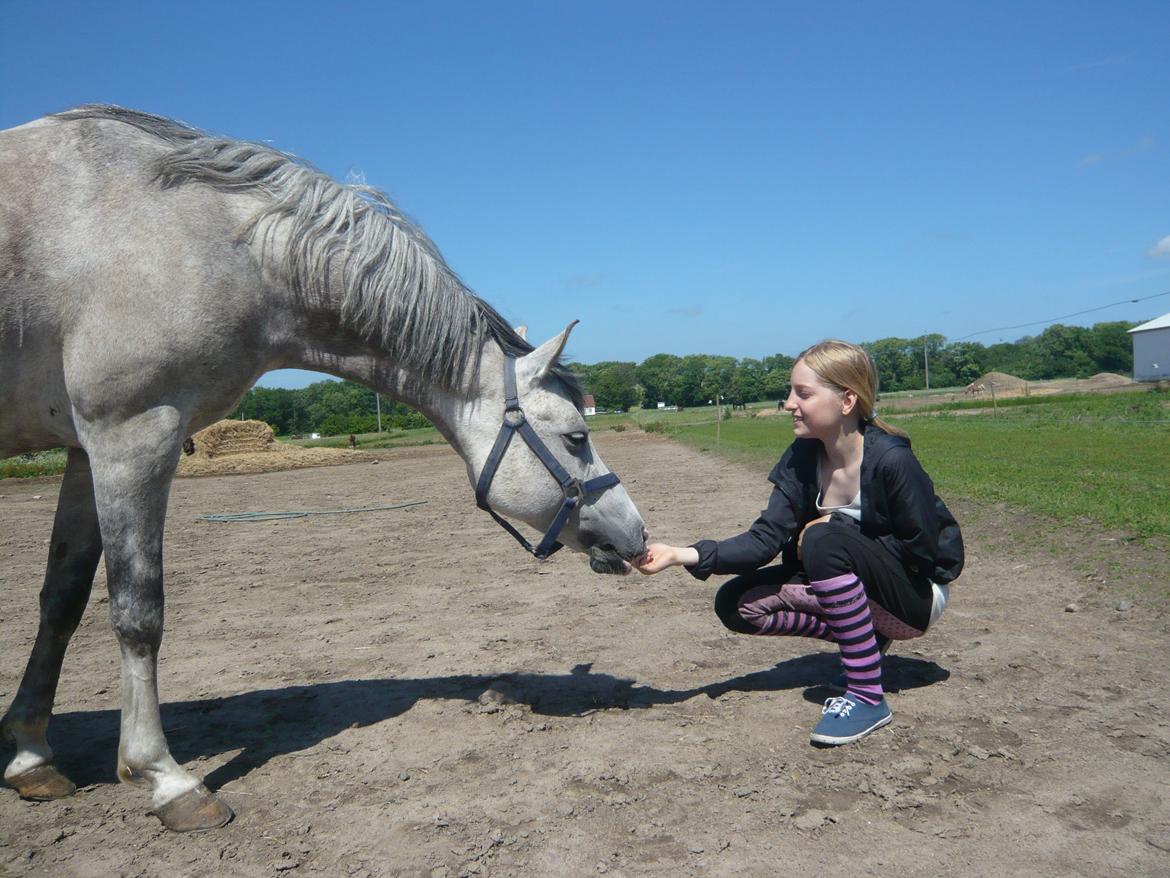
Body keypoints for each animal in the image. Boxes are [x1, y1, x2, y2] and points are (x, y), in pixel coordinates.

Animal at [0, 104, 650, 833]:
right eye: (576, 437)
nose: (638, 533)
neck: (208, 238)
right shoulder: (131, 435)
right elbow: (138, 612)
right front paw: (162, 776)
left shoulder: (83, 450)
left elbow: (62, 601)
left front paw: (31, 757)